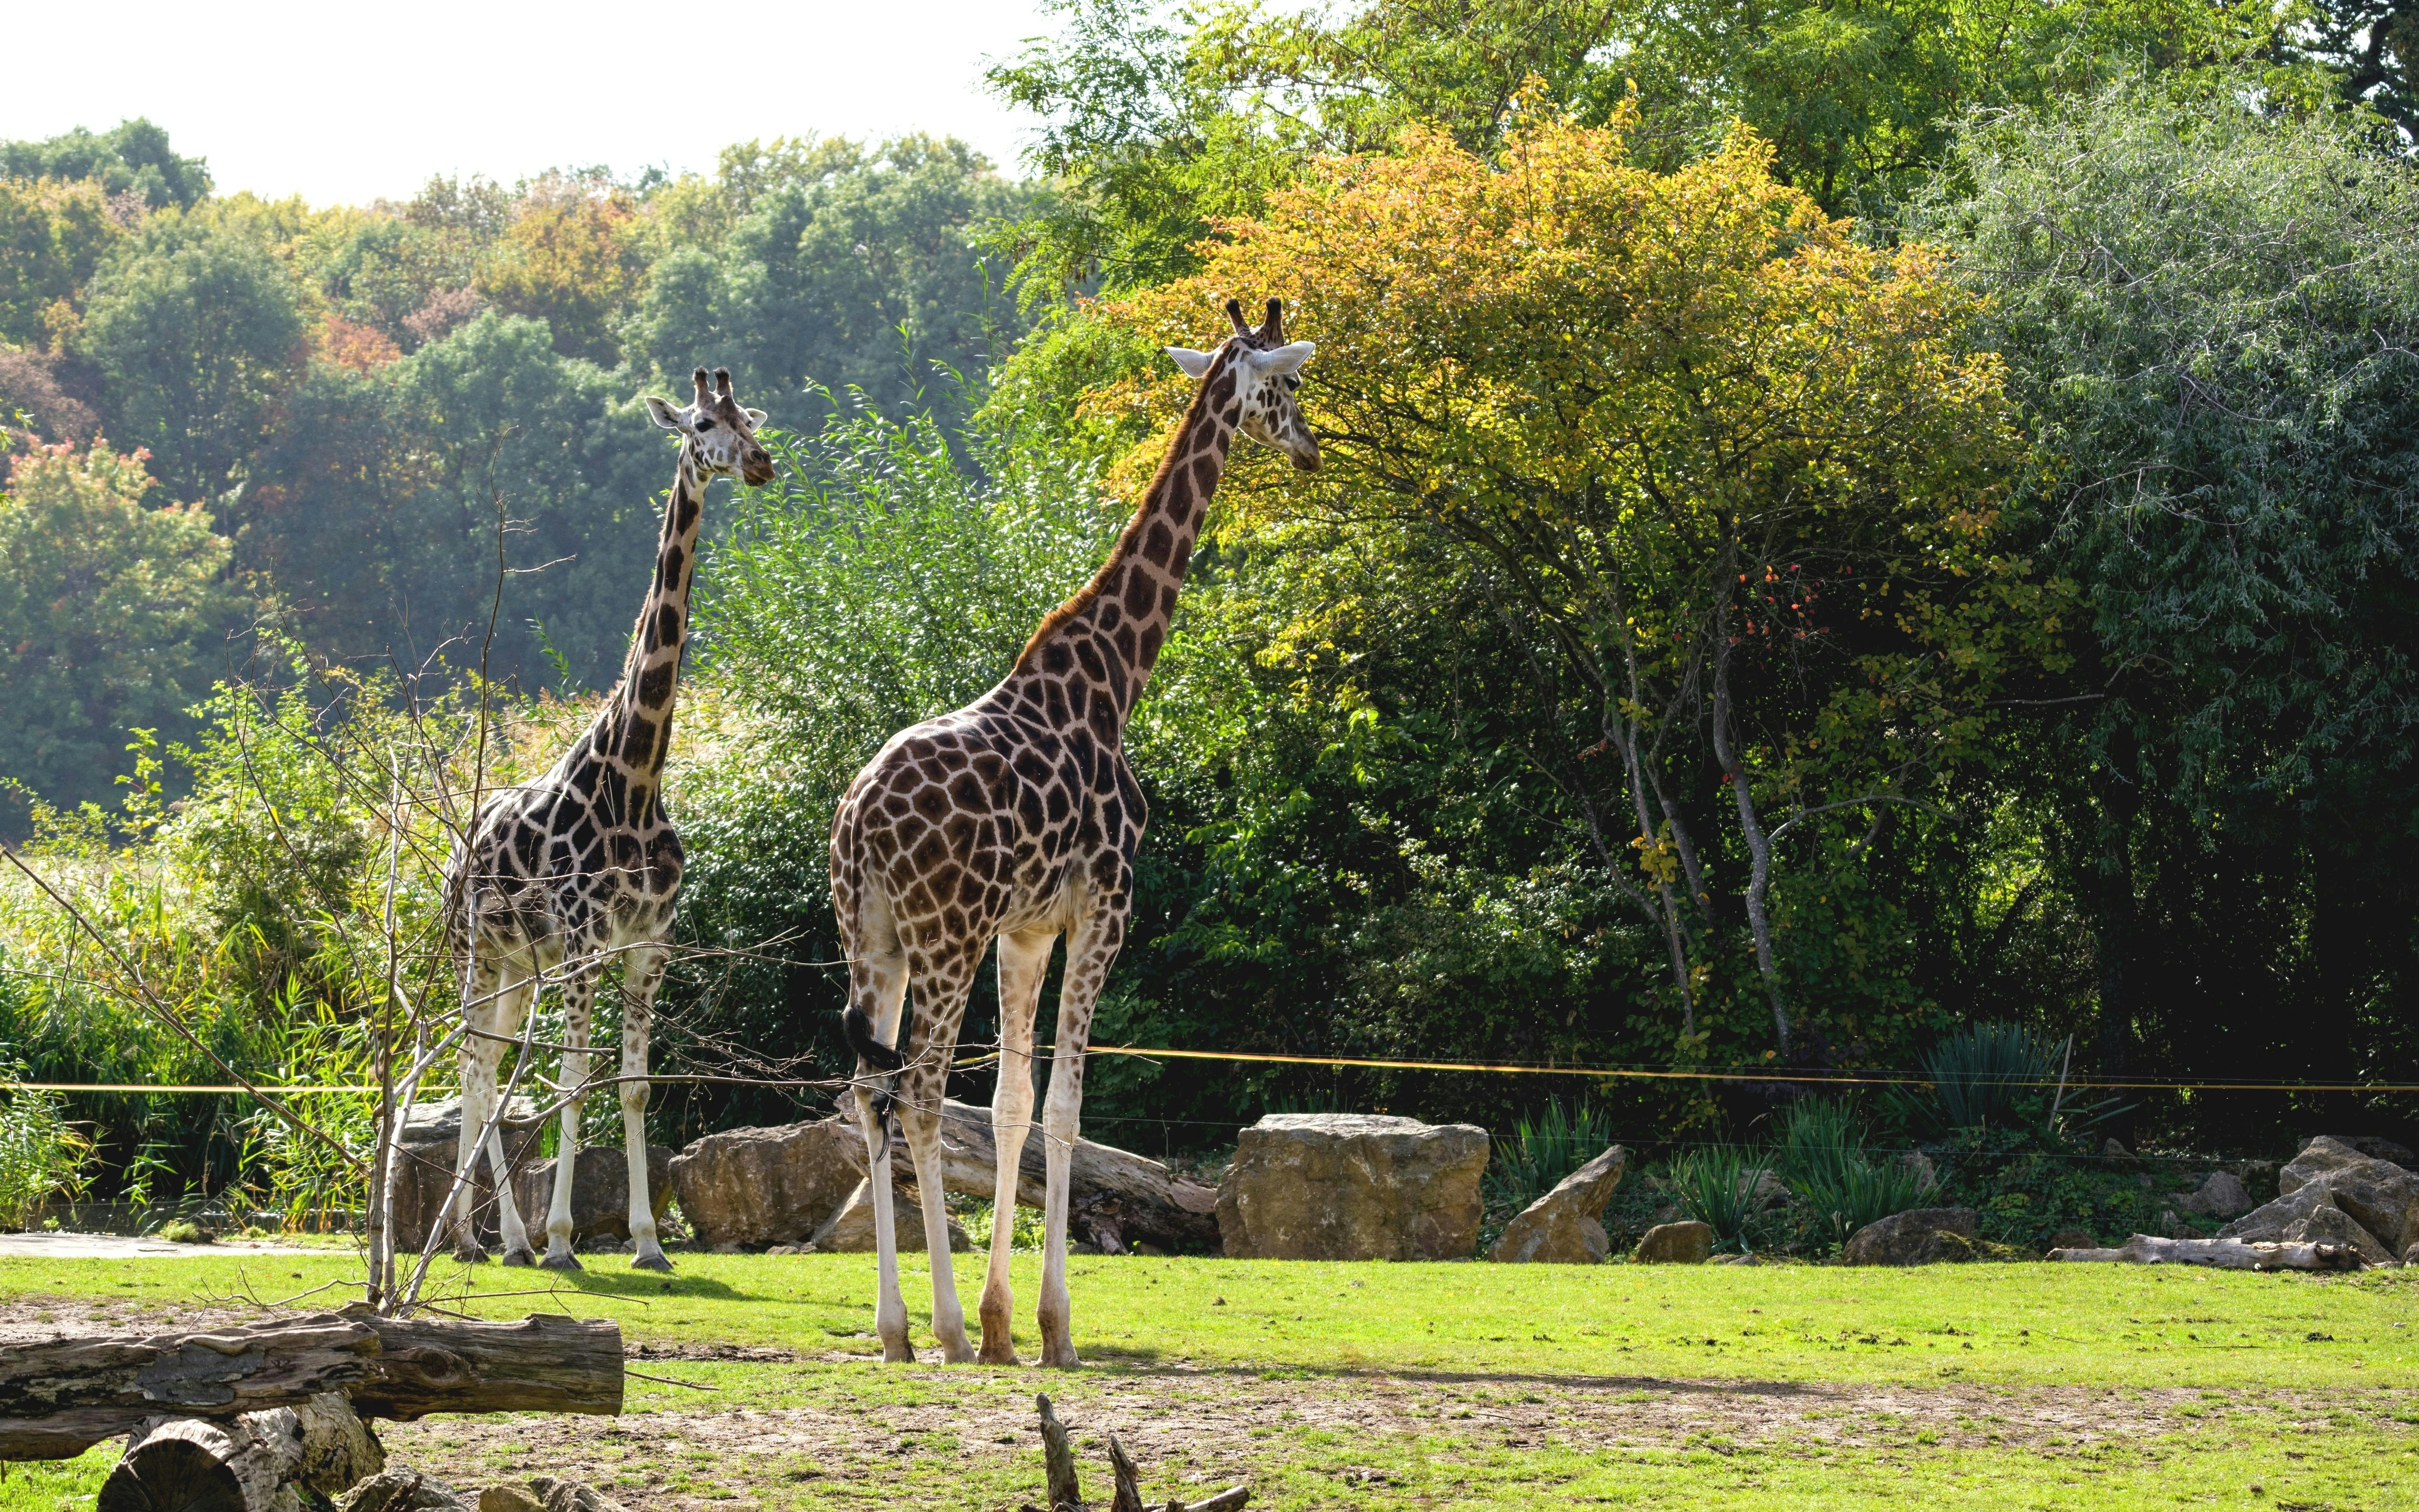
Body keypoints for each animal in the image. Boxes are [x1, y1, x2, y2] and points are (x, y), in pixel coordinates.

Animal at [441, 366, 772, 1272]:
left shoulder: (649, 941)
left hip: (518, 966)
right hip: (475, 950)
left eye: (749, 418)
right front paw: (564, 1240)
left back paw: (486, 1238)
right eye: (701, 424)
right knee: (473, 1065)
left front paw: (648, 1241)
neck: (636, 775)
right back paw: (497, 1240)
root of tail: (452, 861)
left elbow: (630, 1085)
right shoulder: (587, 940)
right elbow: (570, 1083)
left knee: (486, 1066)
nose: (761, 463)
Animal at [831, 298, 1316, 1365]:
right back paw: (938, 1328)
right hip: (943, 935)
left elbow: (1013, 1107)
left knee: (867, 1092)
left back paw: (896, 1329)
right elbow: (1065, 1108)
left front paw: (1004, 1323)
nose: (1310, 446)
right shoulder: (1104, 910)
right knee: (918, 1091)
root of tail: (859, 819)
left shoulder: (1027, 928)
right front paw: (1049, 1328)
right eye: (1291, 385)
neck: (1114, 681)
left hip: (872, 937)